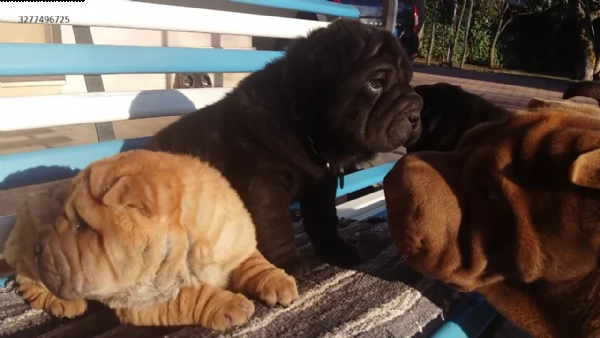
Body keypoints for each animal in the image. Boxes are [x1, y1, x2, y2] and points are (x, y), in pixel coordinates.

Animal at [1, 149, 298, 332]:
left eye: (80, 224)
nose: (40, 247)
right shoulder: (139, 302)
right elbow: (188, 297)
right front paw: (229, 305)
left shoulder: (232, 242)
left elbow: (253, 263)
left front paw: (278, 282)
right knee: (28, 281)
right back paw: (64, 303)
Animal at [145, 19, 422, 278]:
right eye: (376, 82)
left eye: (409, 79)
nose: (416, 111)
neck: (303, 125)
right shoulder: (265, 183)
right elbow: (276, 225)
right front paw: (289, 264)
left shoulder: (320, 186)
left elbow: (324, 222)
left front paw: (337, 251)